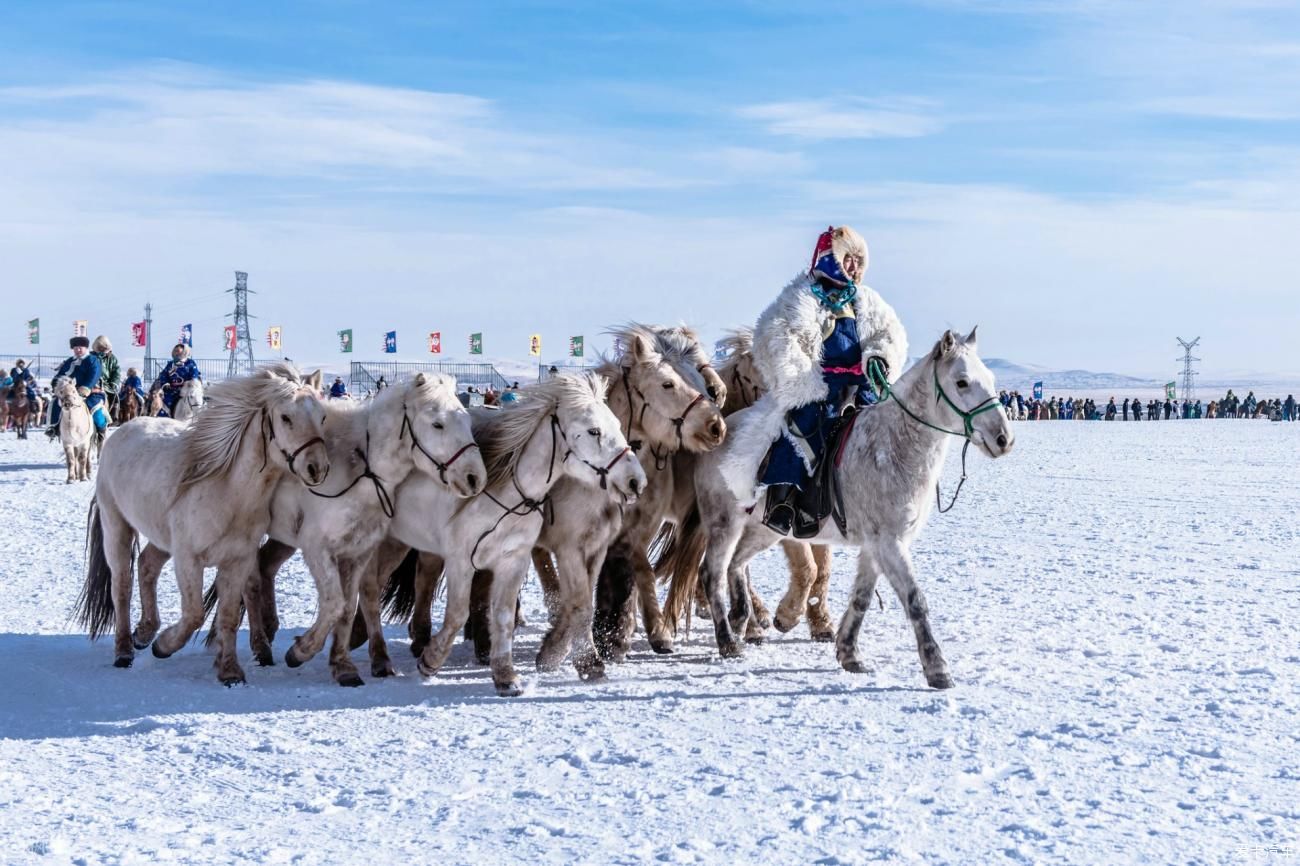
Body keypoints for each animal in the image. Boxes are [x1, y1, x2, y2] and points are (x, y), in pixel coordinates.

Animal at [76, 364, 332, 681]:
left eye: (322, 416)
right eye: (286, 417)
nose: (316, 467)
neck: (228, 492)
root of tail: (122, 431)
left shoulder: (237, 560)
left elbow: (229, 615)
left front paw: (230, 671)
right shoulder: (188, 560)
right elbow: (194, 614)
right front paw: (164, 645)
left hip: (162, 537)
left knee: (147, 565)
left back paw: (144, 632)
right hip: (116, 526)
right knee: (122, 584)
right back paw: (124, 650)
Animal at [356, 371, 644, 696]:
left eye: (618, 425)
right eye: (594, 430)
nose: (636, 480)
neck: (506, 494)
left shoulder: (515, 559)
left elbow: (505, 615)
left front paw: (506, 675)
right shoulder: (463, 559)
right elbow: (458, 613)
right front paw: (431, 661)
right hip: (384, 542)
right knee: (369, 589)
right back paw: (380, 658)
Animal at [691, 327, 1013, 686]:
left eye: (990, 378)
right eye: (962, 382)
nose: (1003, 438)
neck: (894, 446)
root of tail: (720, 432)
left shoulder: (876, 546)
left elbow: (861, 598)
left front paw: (849, 653)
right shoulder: (889, 542)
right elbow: (915, 599)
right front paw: (937, 668)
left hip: (764, 530)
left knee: (736, 565)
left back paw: (741, 618)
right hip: (724, 523)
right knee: (713, 573)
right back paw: (728, 641)